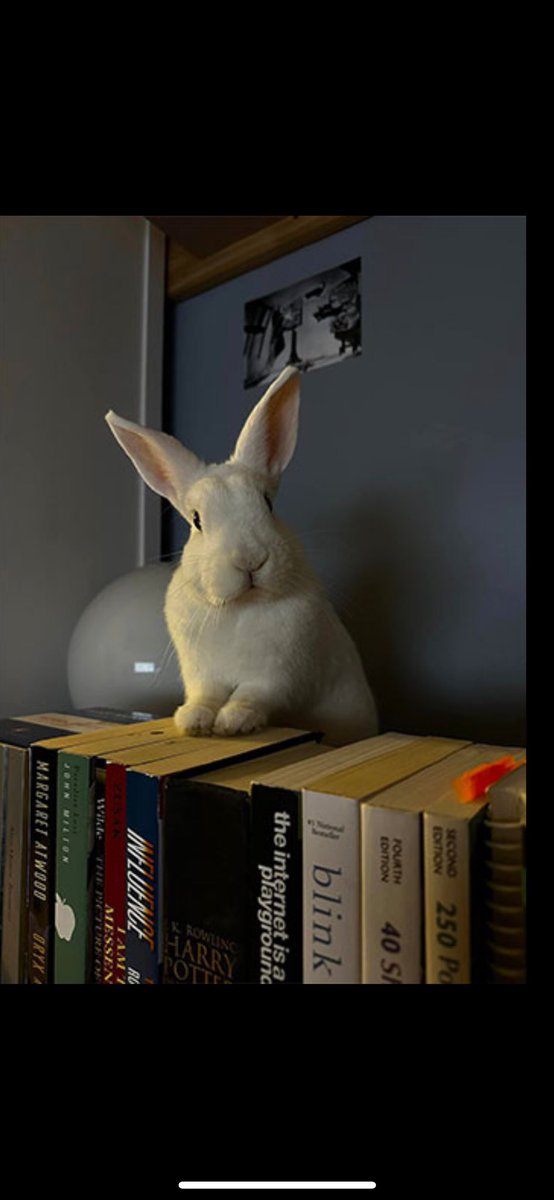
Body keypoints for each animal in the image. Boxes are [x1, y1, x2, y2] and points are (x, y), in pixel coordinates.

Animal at [105, 366, 378, 745]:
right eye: (197, 520)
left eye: (268, 504)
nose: (250, 560)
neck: (240, 607)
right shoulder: (204, 674)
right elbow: (206, 696)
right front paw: (193, 720)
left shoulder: (280, 675)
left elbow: (254, 695)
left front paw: (233, 721)